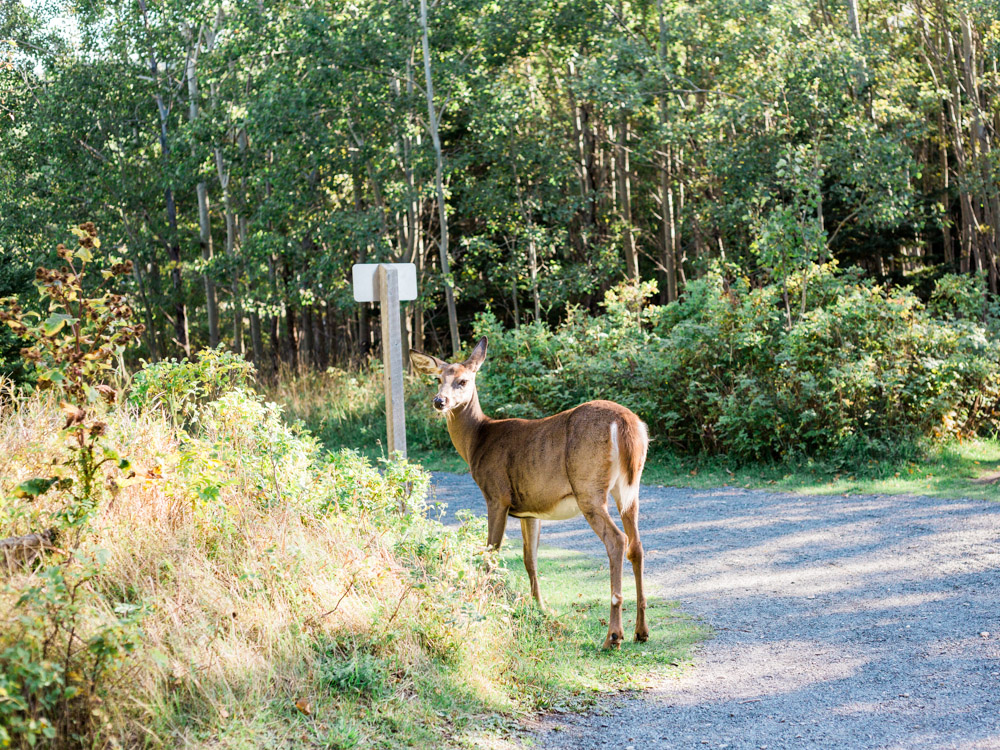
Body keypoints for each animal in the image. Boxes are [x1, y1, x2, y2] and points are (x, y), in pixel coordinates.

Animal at [410, 338, 652, 648]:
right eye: (437, 379)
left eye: (463, 381)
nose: (439, 401)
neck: (477, 440)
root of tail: (627, 423)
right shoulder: (530, 510)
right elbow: (530, 559)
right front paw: (540, 608)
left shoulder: (496, 495)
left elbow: (491, 552)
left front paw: (482, 602)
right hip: (630, 488)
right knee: (637, 545)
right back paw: (641, 631)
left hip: (588, 487)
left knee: (617, 540)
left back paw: (613, 636)